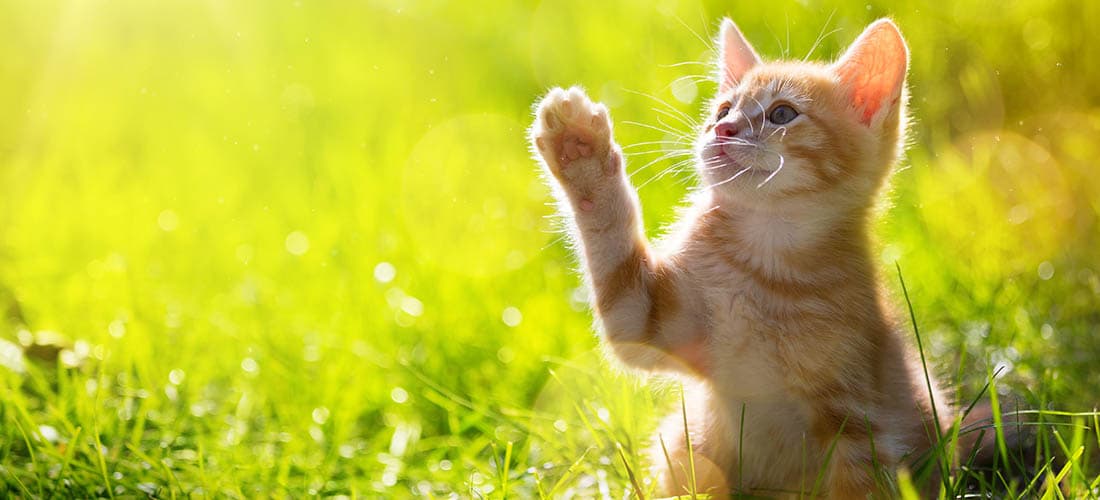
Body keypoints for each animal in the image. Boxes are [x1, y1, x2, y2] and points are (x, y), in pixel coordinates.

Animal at [528, 17, 950, 498]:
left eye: (782, 113)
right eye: (722, 110)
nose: (722, 130)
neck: (761, 263)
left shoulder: (858, 419)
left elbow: (861, 480)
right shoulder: (642, 317)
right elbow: (611, 247)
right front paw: (580, 152)